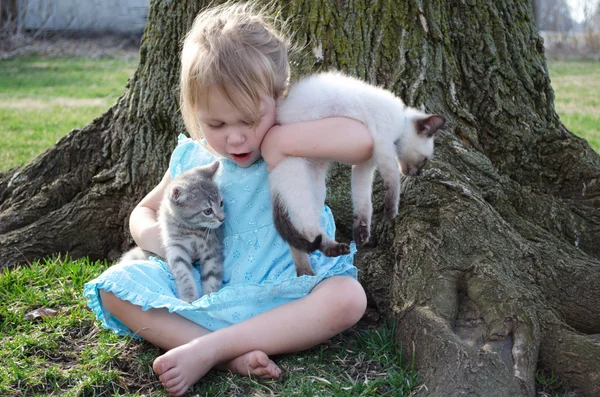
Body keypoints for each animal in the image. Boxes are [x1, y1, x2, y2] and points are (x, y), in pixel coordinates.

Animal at [122, 160, 225, 300]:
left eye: (221, 203)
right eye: (208, 211)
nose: (222, 218)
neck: (190, 229)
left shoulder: (212, 248)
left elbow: (212, 275)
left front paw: (209, 297)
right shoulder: (176, 247)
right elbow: (183, 274)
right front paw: (189, 298)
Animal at [270, 71, 442, 276]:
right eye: (424, 160)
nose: (418, 173)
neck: (400, 122)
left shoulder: (364, 166)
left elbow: (363, 203)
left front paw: (361, 234)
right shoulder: (383, 145)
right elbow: (393, 182)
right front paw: (391, 212)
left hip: (316, 185)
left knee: (299, 234)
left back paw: (306, 273)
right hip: (299, 180)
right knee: (306, 227)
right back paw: (331, 250)